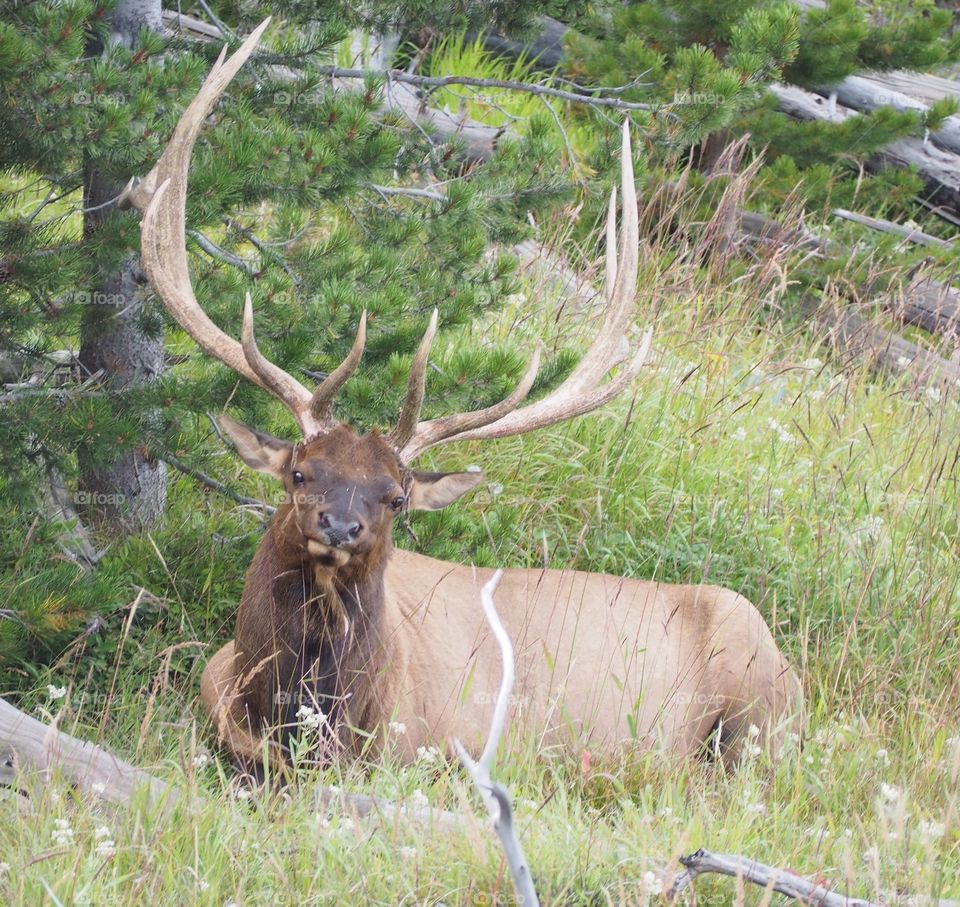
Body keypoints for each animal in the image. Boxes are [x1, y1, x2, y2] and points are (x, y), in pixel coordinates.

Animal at [127, 21, 804, 772]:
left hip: (761, 702)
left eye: (396, 497)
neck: (297, 722)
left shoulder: (448, 749)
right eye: (300, 471)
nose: (339, 525)